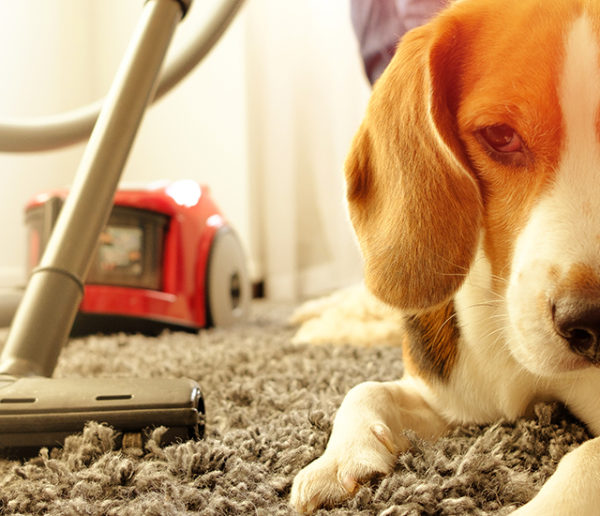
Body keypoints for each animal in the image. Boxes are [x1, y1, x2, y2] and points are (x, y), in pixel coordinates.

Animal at [292, 0, 600, 512]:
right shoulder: (456, 397)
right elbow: (365, 389)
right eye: (500, 135)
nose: (593, 321)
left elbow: (585, 461)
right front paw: (339, 460)